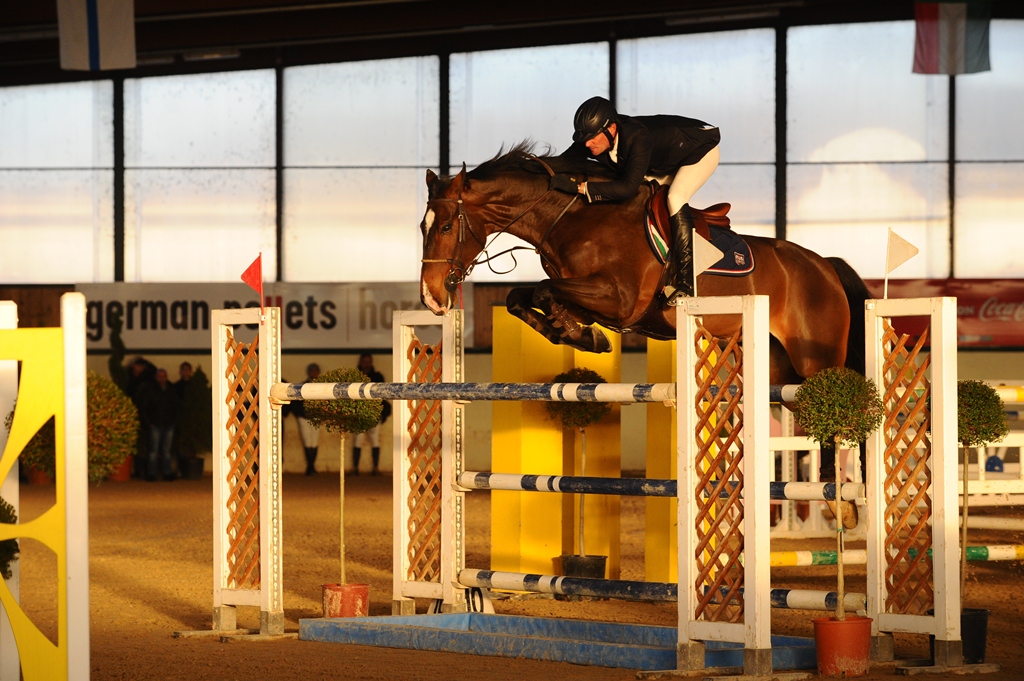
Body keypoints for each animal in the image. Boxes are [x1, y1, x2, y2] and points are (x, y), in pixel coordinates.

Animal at [419, 142, 868, 393]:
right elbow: (520, 296)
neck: (574, 217)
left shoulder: (619, 298)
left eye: (446, 226)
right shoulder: (584, 290)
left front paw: (580, 334)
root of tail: (825, 267)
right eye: (422, 226)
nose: (431, 297)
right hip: (778, 368)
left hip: (816, 363)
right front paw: (577, 333)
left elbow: (546, 289)